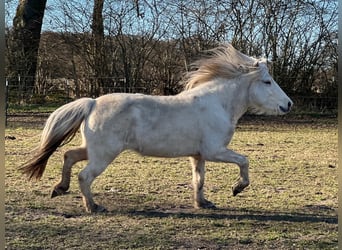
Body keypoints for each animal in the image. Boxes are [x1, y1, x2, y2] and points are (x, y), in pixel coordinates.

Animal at [19, 44, 292, 212]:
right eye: (267, 81)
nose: (288, 104)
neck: (217, 103)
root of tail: (93, 102)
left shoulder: (198, 155)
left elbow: (199, 180)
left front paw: (203, 203)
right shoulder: (215, 151)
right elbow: (244, 161)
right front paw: (237, 188)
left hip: (94, 149)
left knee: (68, 155)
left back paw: (59, 189)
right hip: (104, 155)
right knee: (84, 176)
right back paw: (93, 207)